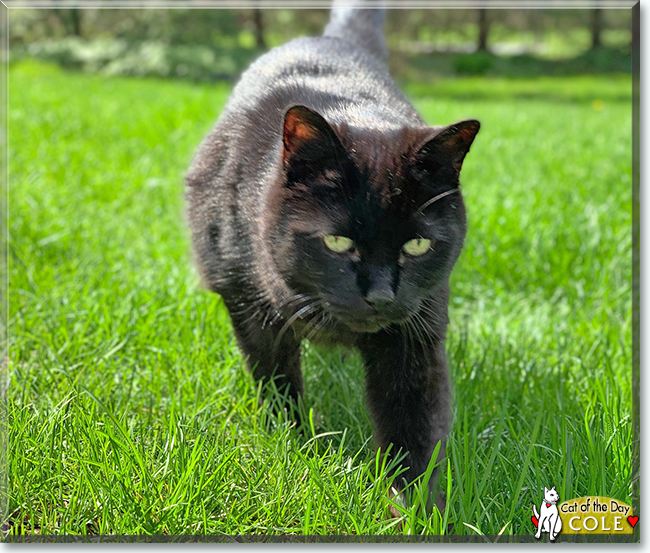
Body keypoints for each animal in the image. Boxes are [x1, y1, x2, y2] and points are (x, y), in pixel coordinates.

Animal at [185, 2, 478, 506]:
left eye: (417, 244)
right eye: (338, 242)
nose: (380, 295)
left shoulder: (416, 333)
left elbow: (416, 427)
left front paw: (414, 508)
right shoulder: (247, 303)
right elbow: (277, 384)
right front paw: (294, 448)